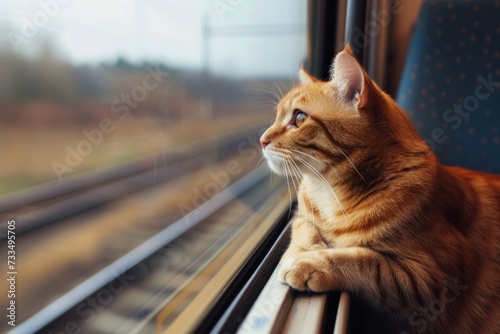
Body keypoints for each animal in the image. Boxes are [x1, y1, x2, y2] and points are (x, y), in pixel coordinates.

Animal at [260, 45, 500, 334]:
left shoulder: (437, 279)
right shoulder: (302, 215)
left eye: (299, 118)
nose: (262, 140)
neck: (330, 193)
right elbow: (304, 230)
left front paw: (312, 263)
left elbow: (367, 262)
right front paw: (302, 251)